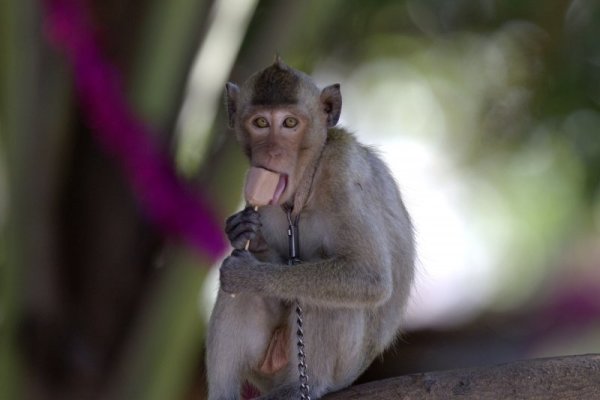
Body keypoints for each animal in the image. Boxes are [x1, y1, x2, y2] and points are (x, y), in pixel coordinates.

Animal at [204, 57, 414, 400]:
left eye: (290, 123)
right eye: (261, 123)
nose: (273, 152)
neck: (303, 186)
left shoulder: (344, 174)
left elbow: (368, 275)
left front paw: (249, 274)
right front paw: (242, 231)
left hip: (342, 368)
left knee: (330, 295)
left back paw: (304, 385)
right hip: (266, 369)